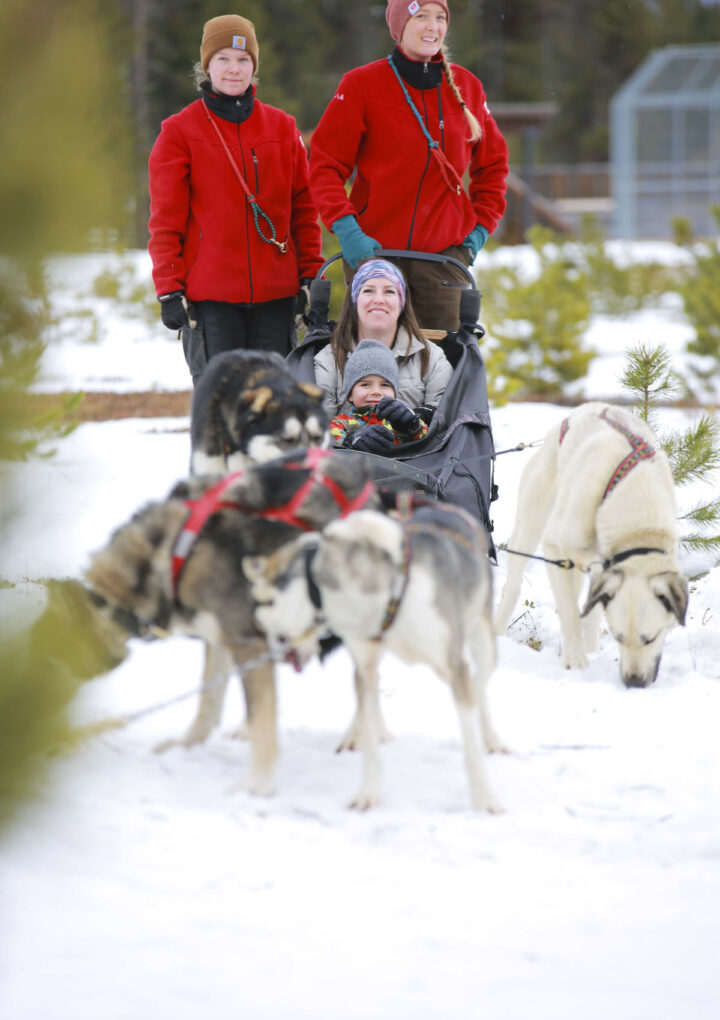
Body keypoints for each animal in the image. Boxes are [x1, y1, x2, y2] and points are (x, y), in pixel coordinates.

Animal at [84, 450, 375, 791]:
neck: (173, 553)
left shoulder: (248, 640)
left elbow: (261, 722)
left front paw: (258, 784)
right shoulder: (220, 636)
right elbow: (209, 700)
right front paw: (186, 745)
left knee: (365, 681)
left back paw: (359, 736)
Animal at [243, 501, 501, 811]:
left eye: (263, 622)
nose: (273, 656)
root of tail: (450, 508)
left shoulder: (454, 665)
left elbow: (471, 741)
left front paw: (484, 798)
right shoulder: (363, 664)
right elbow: (368, 734)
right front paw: (368, 792)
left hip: (483, 641)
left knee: (481, 681)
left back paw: (491, 738)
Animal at [491, 397, 685, 685]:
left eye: (651, 638)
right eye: (618, 637)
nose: (633, 683)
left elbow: (588, 610)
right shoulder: (554, 549)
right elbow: (570, 612)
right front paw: (576, 662)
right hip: (530, 529)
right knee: (513, 586)